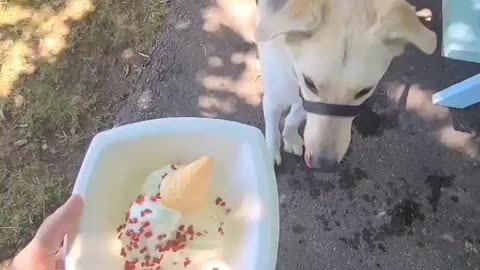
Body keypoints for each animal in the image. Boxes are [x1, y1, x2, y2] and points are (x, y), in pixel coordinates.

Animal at [256, 0, 436, 172]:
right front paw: (268, 156)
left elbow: (293, 118)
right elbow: (272, 132)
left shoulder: (304, 99)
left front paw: (291, 137)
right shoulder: (275, 97)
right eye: (310, 83)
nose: (323, 165)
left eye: (364, 91)